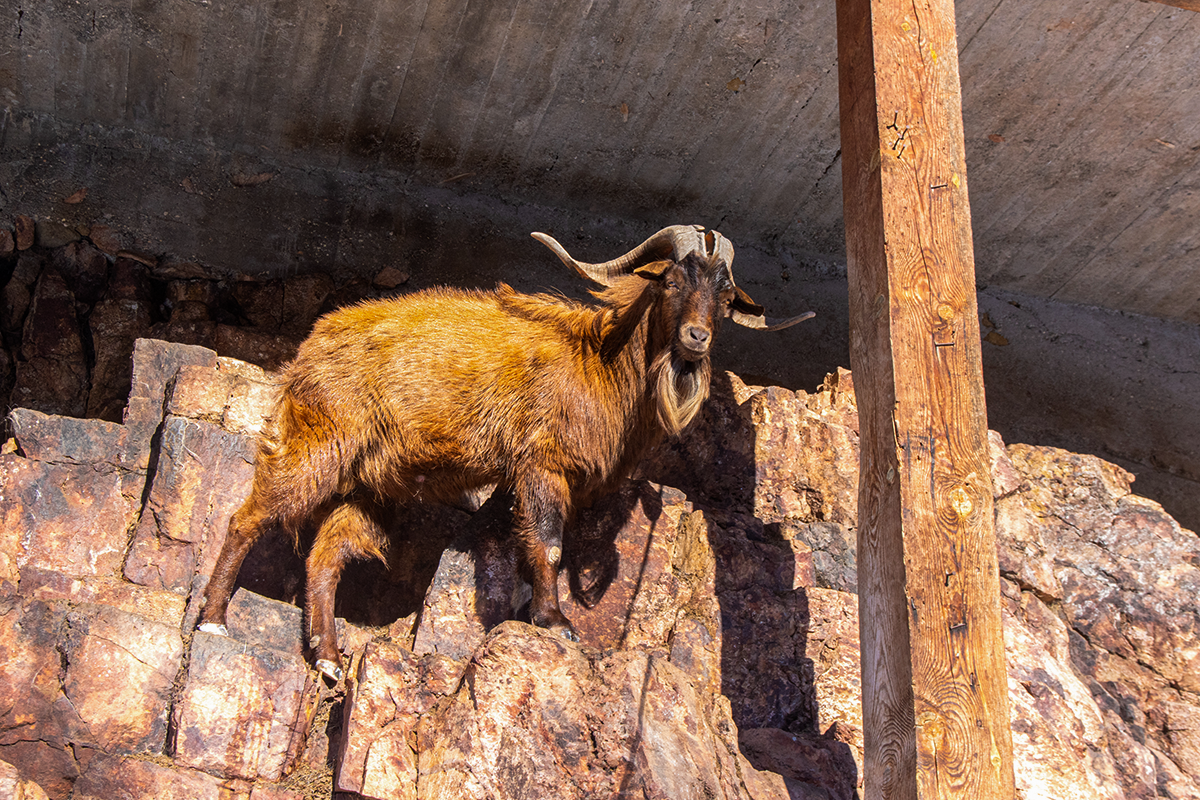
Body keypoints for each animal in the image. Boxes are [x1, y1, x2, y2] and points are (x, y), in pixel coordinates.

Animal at [196, 225, 816, 681]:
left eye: (726, 296)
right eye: (670, 282)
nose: (696, 340)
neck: (600, 358)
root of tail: (310, 348)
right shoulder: (542, 464)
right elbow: (547, 544)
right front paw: (554, 621)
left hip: (370, 486)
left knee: (325, 557)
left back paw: (326, 656)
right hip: (317, 445)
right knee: (249, 518)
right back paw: (213, 620)